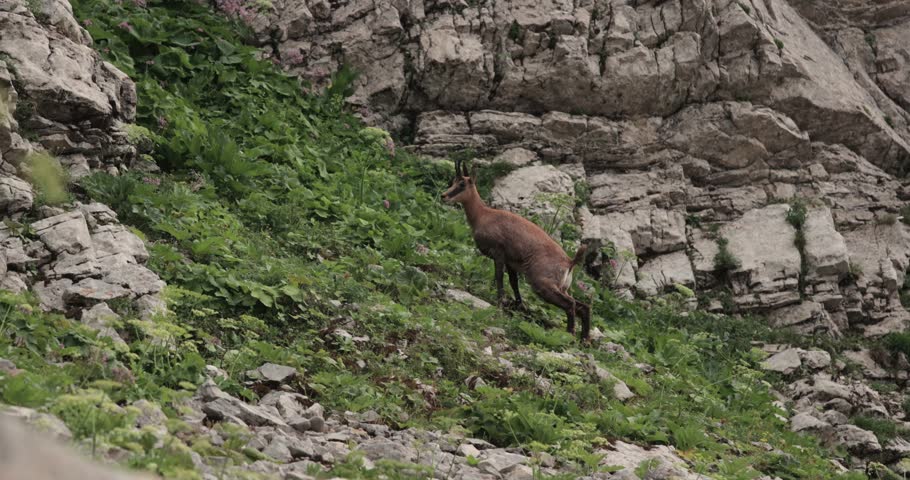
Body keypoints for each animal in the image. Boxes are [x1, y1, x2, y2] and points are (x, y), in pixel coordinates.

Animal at [441, 158, 592, 340]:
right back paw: (585, 340)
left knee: (571, 304)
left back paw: (570, 334)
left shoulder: (498, 253)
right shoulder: (511, 263)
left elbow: (499, 277)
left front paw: (500, 303)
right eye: (453, 181)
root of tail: (569, 262)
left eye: (462, 184)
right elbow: (514, 283)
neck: (483, 215)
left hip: (543, 284)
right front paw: (518, 306)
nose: (443, 196)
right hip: (563, 288)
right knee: (583, 306)